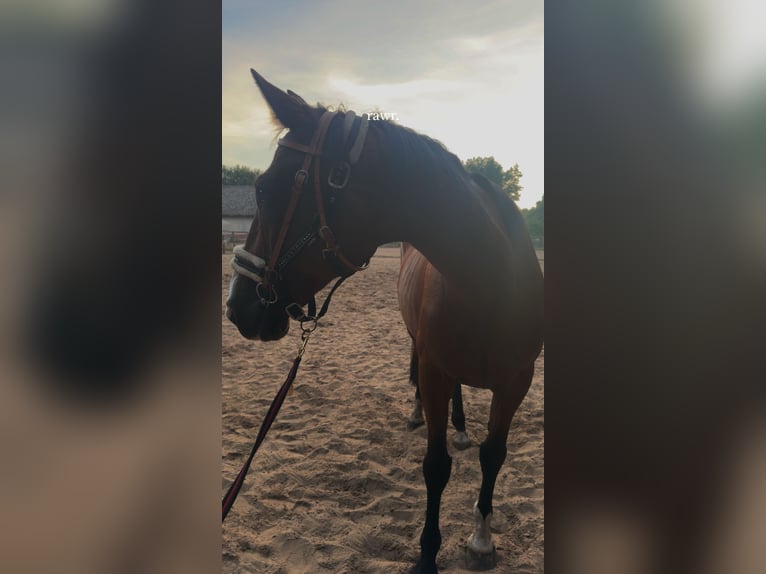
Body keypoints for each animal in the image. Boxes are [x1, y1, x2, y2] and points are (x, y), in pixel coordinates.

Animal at [226, 70, 544, 574]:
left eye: (264, 188)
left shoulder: (518, 380)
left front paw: (481, 539)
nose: (237, 305)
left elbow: (494, 455)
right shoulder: (434, 370)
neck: (491, 280)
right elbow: (436, 467)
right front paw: (427, 556)